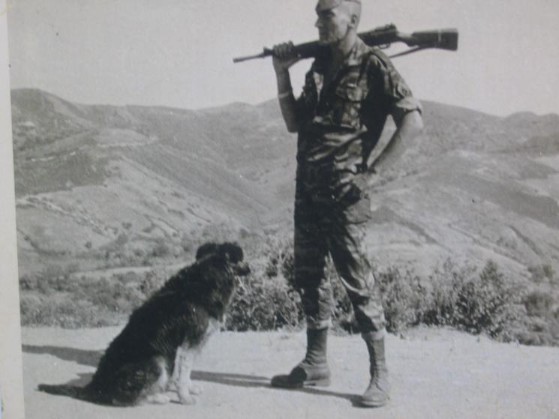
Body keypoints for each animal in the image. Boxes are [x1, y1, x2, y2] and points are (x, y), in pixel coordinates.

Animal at [38, 243, 248, 406]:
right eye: (242, 260)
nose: (251, 269)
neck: (211, 274)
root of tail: (96, 386)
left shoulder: (194, 343)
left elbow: (185, 372)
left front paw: (190, 388)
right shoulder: (191, 341)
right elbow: (184, 373)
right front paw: (185, 397)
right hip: (157, 361)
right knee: (123, 398)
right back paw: (157, 397)